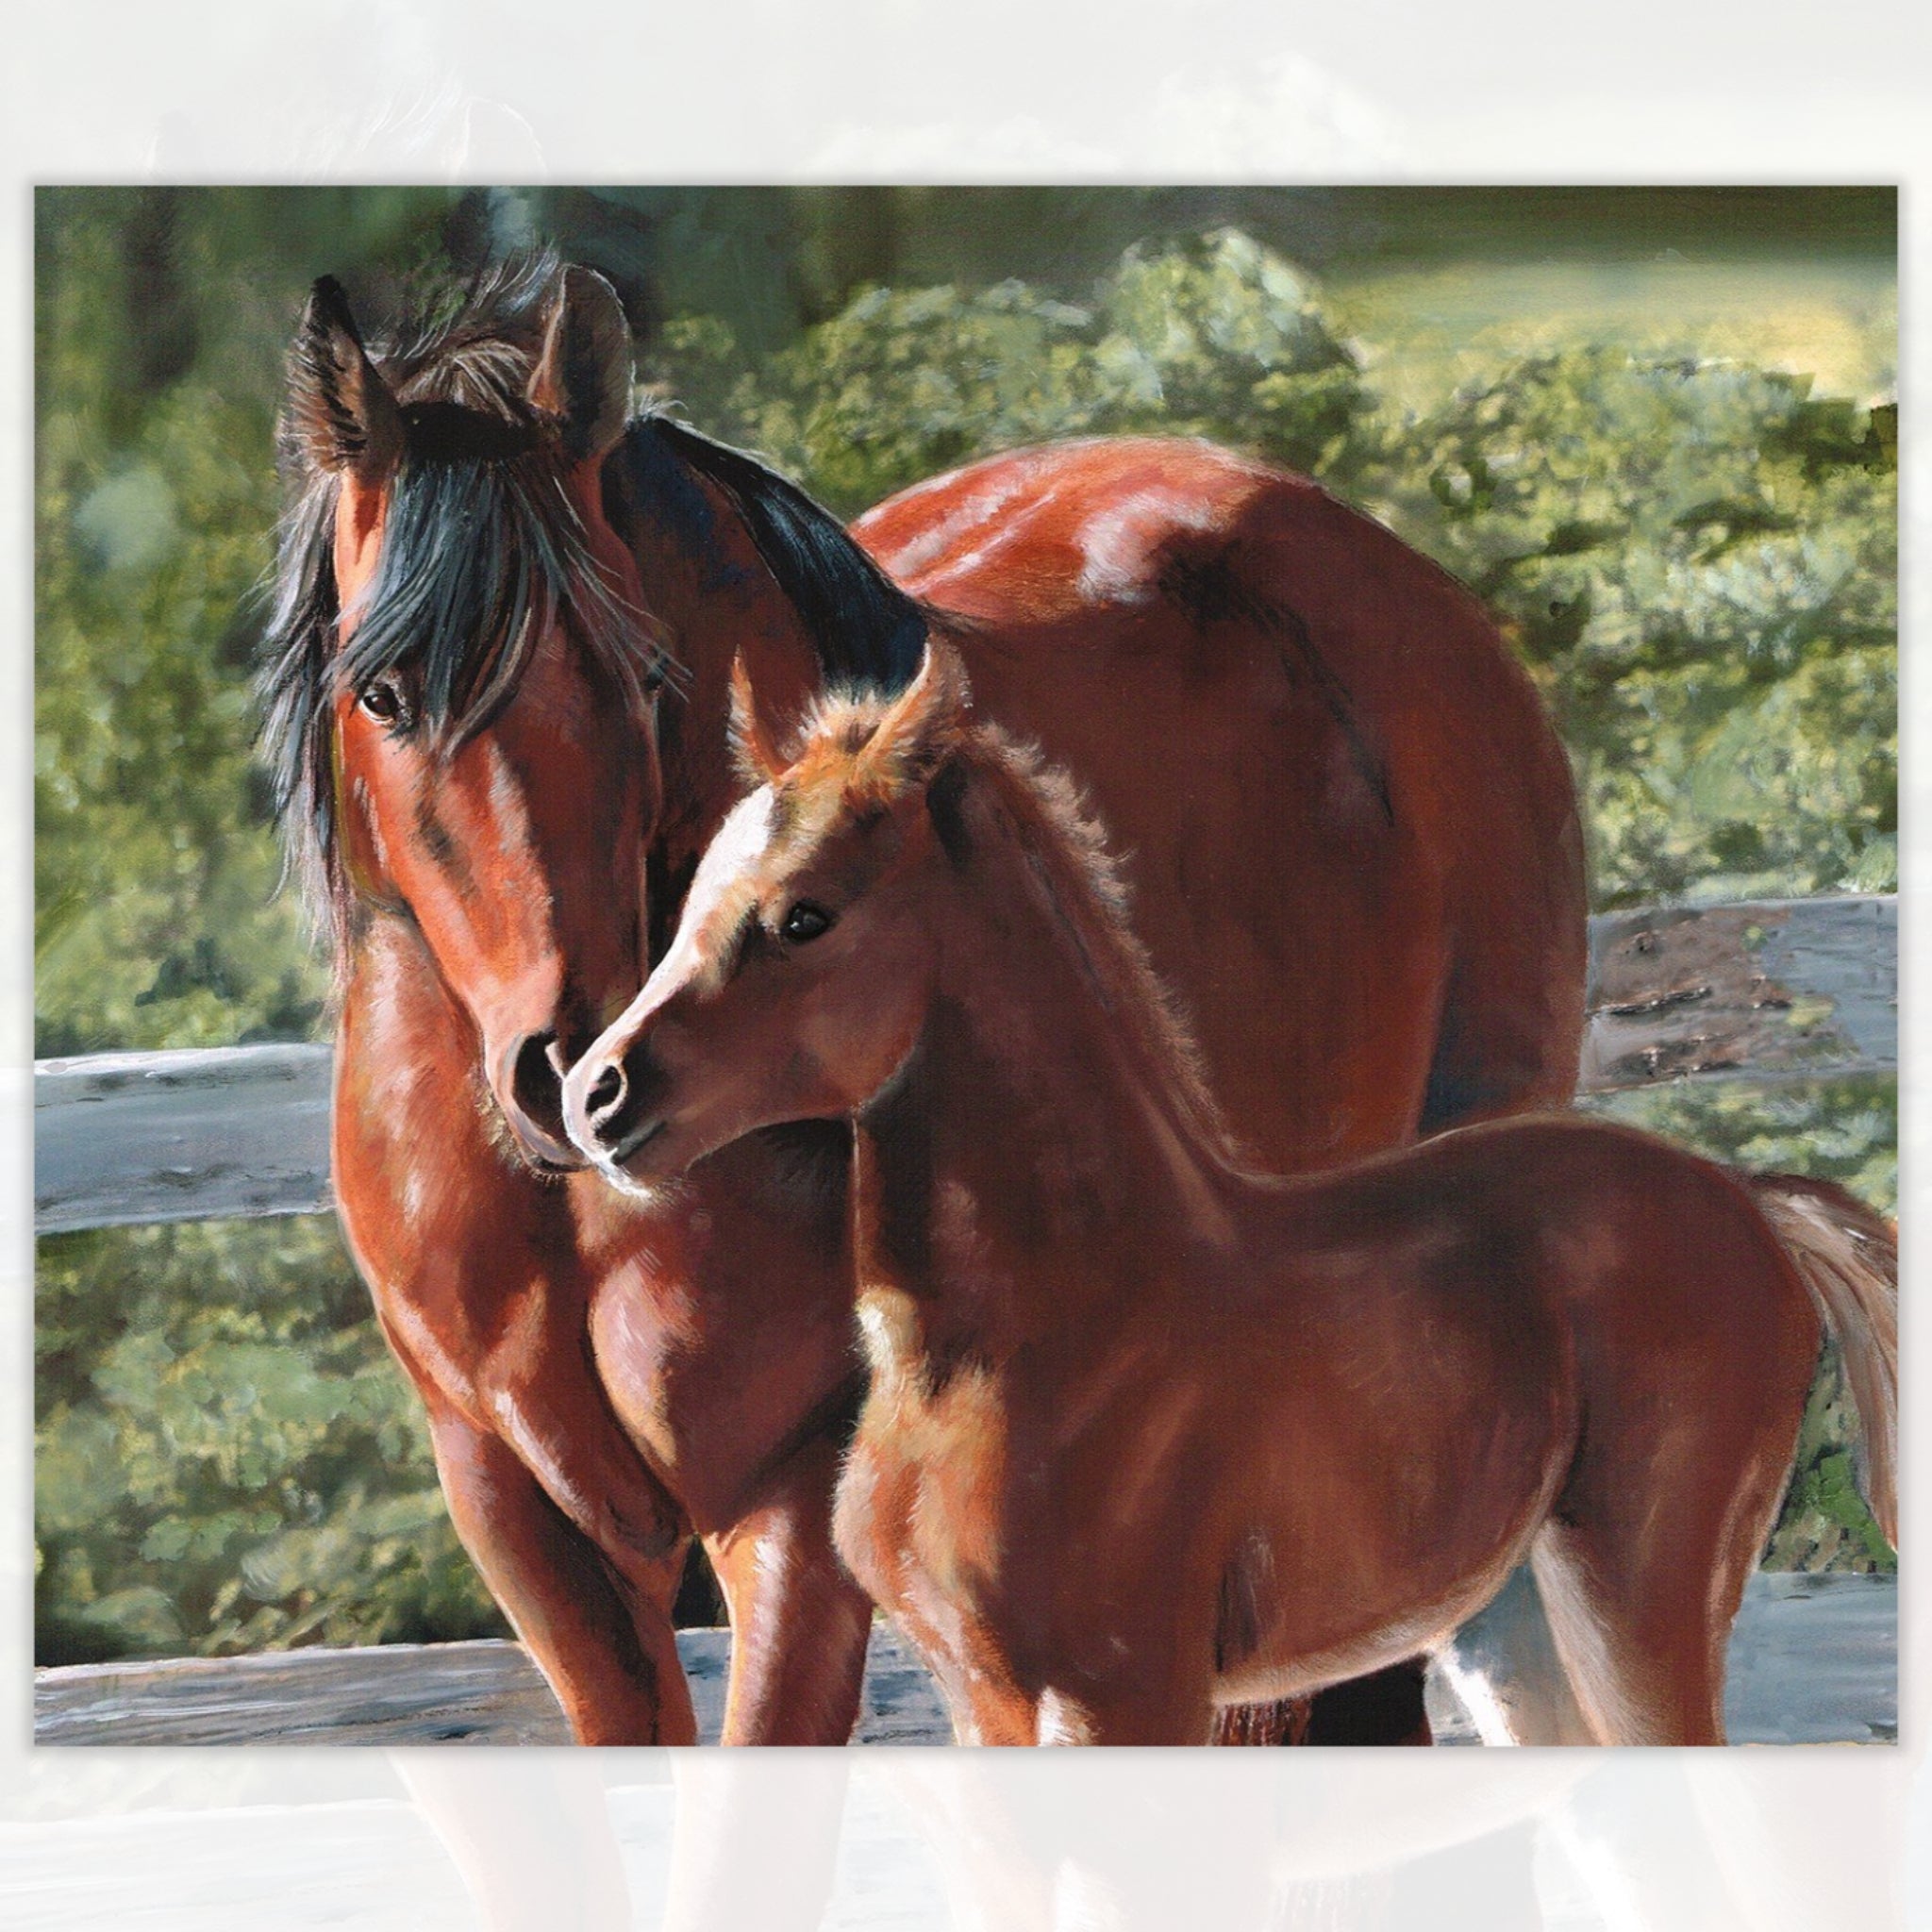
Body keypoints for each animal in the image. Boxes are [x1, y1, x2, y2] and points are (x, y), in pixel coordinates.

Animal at [564, 643, 1897, 1746]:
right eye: (689, 901)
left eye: (805, 915)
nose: (593, 1094)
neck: (1030, 1339)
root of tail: (1749, 1200)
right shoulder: (982, 1701)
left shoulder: (1126, 1697)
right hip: (1513, 1629)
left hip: (1632, 1598)